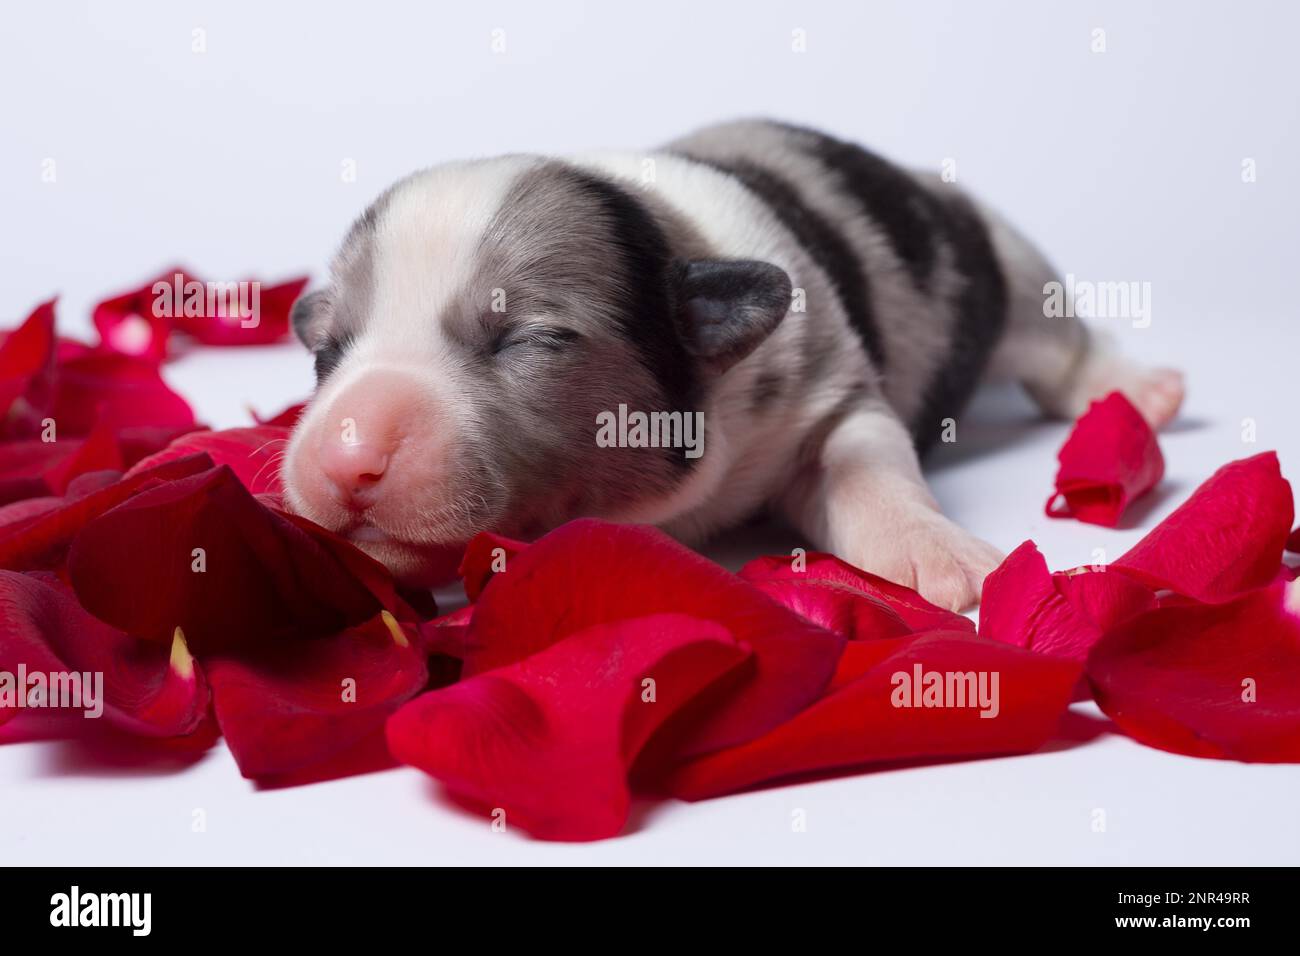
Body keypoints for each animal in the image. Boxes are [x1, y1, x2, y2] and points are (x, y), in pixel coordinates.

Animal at [287, 121, 1190, 613]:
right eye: (327, 352)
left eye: (527, 340)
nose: (347, 455)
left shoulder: (831, 391)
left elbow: (867, 466)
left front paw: (942, 557)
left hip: (1004, 264)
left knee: (1061, 343)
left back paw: (1140, 389)